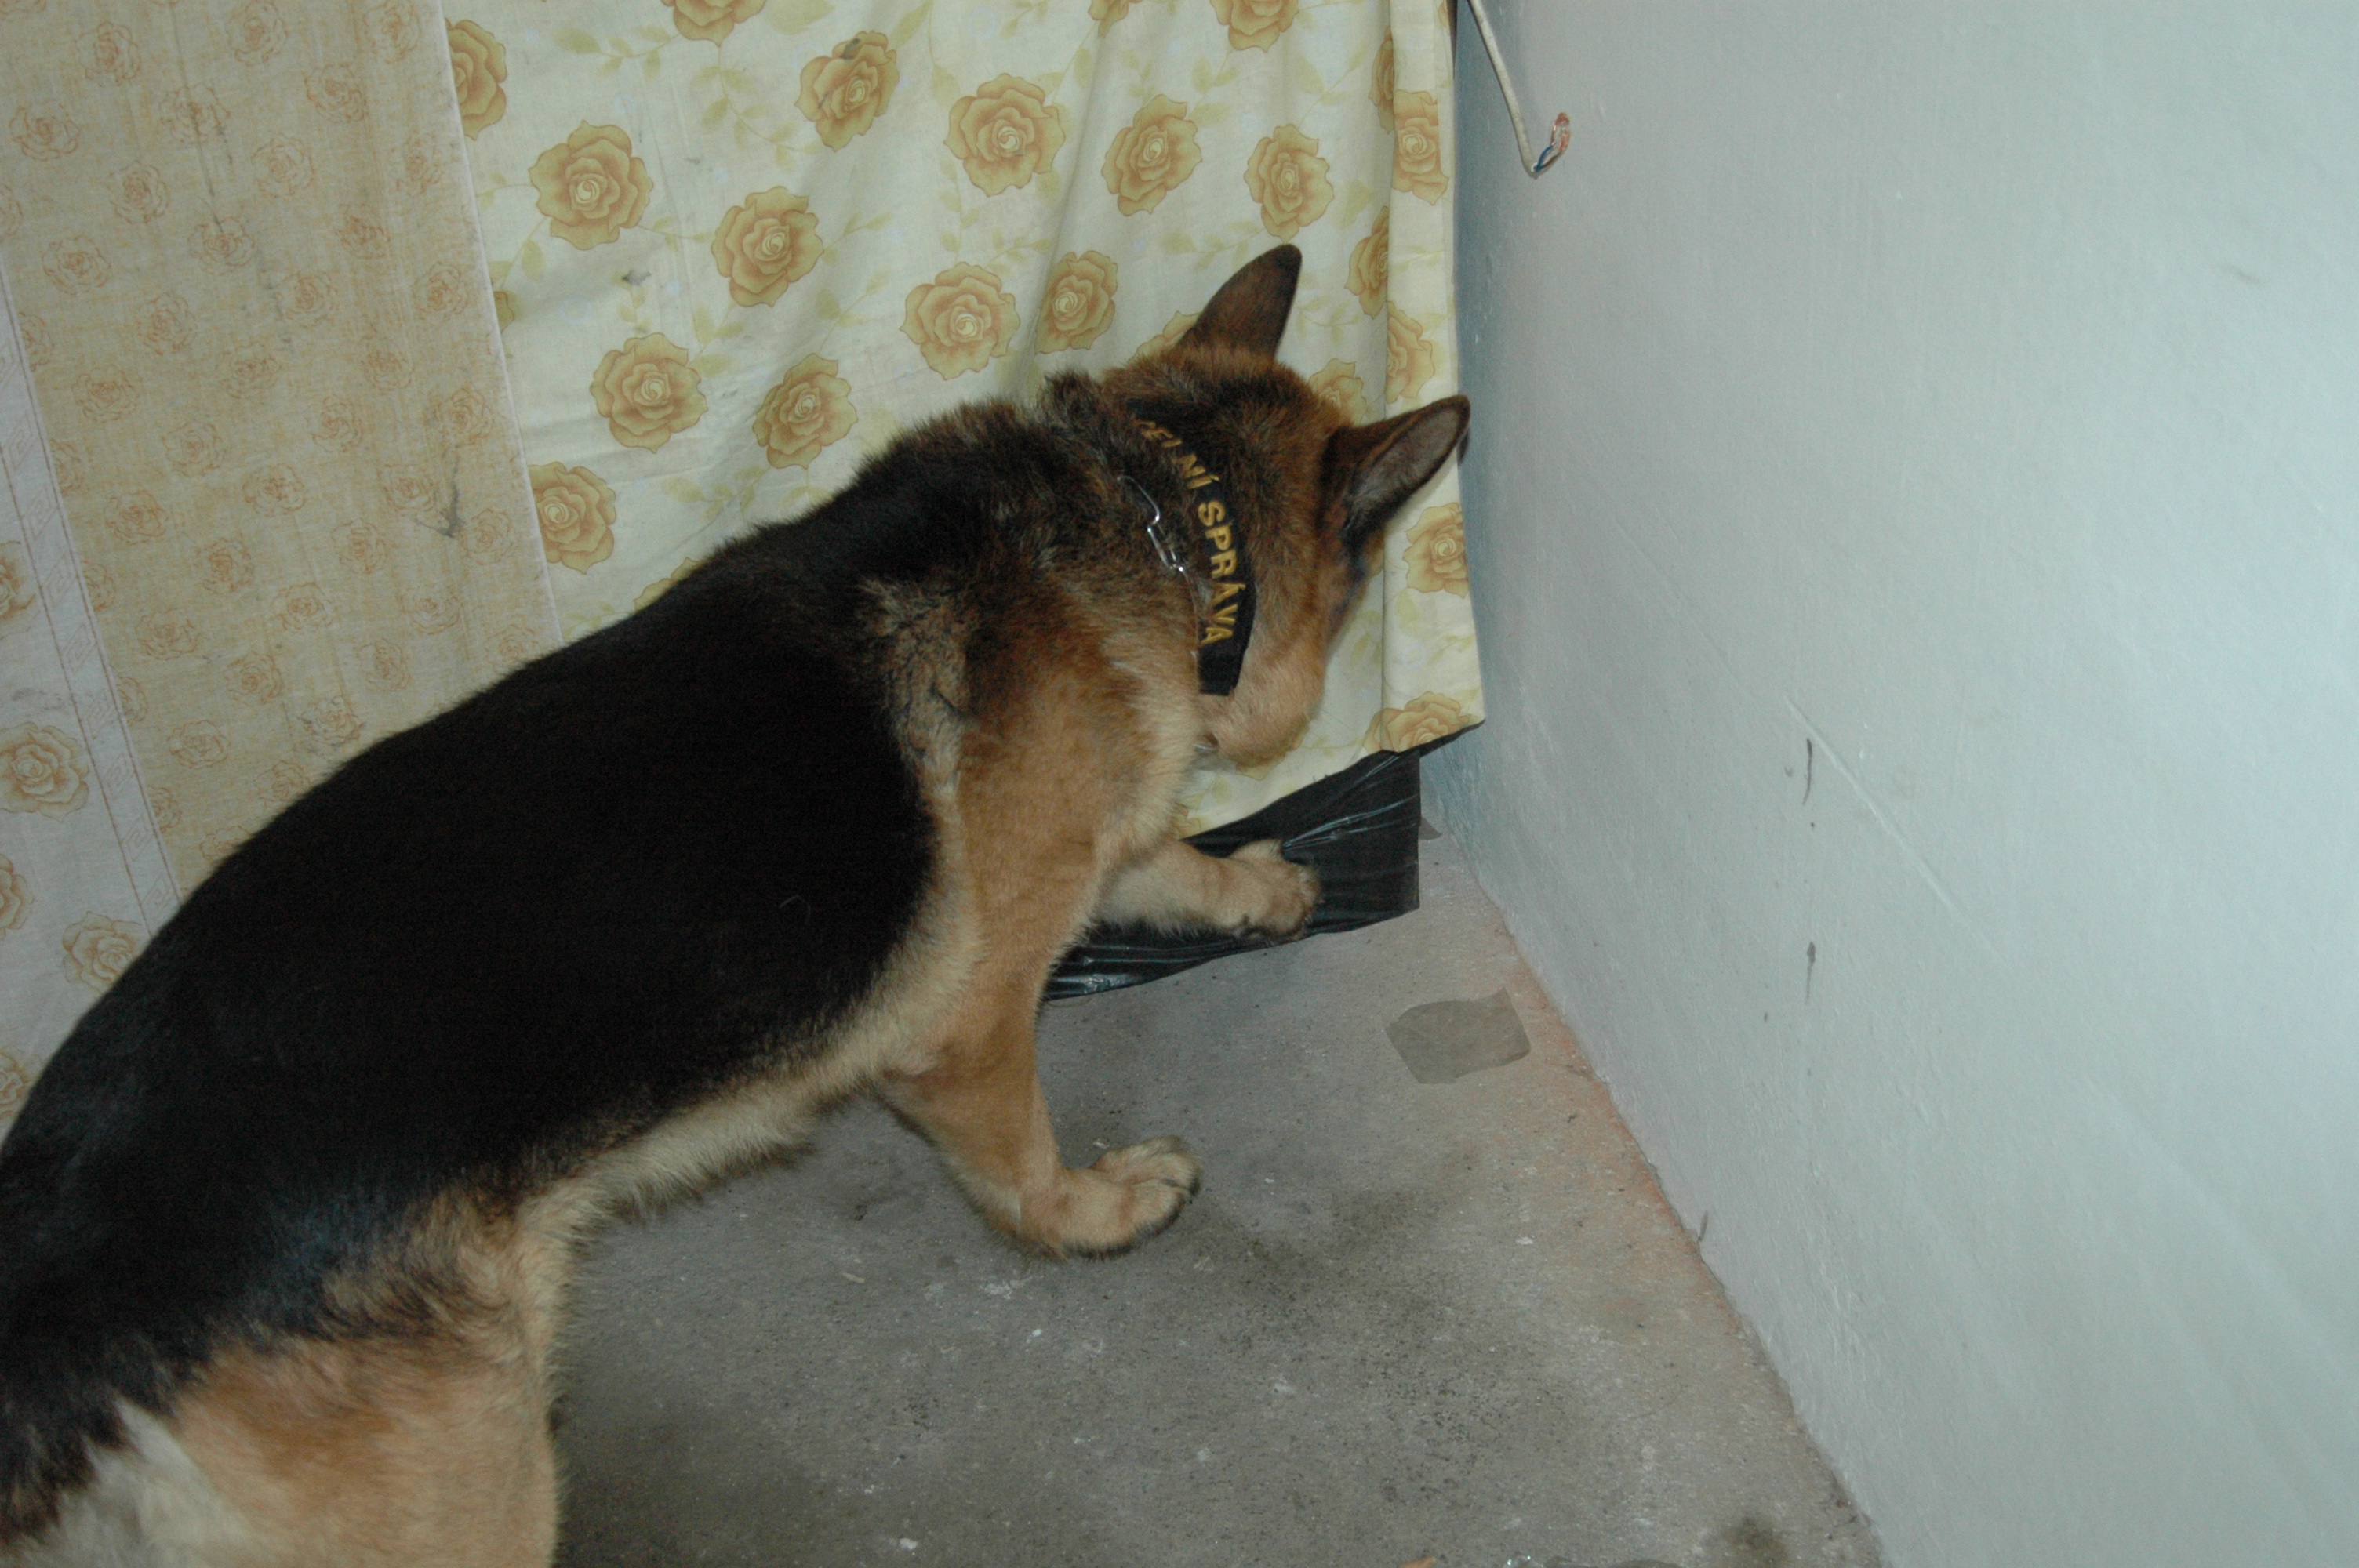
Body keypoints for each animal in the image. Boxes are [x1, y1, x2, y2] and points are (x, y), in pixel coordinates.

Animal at [0, 245, 1469, 1565]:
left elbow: (1159, 850)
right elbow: (1023, 1155)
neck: (1148, 505)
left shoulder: (1087, 835)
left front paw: (1253, 882)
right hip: (470, 1484)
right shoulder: (970, 1027)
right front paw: (1089, 1213)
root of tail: (63, 1287)